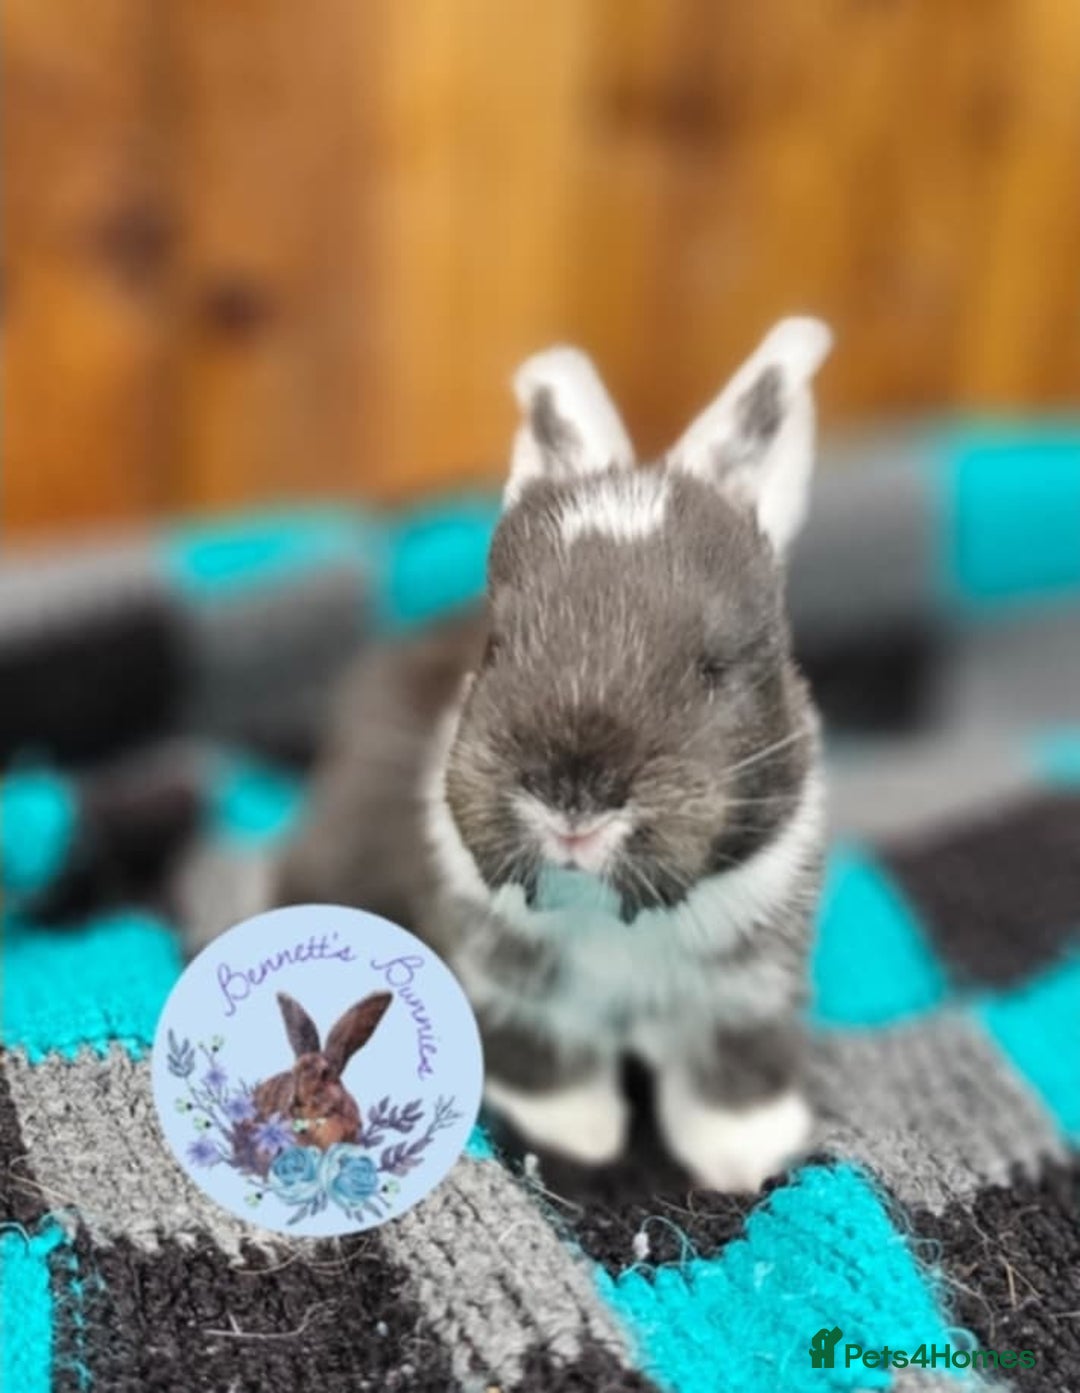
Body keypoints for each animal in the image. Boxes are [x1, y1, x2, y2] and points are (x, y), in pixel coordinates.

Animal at [275, 318, 832, 1192]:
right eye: (497, 644)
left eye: (714, 667)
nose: (573, 801)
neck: (614, 915)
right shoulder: (511, 985)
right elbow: (547, 1058)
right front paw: (583, 1135)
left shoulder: (753, 982)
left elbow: (734, 1063)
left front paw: (742, 1156)